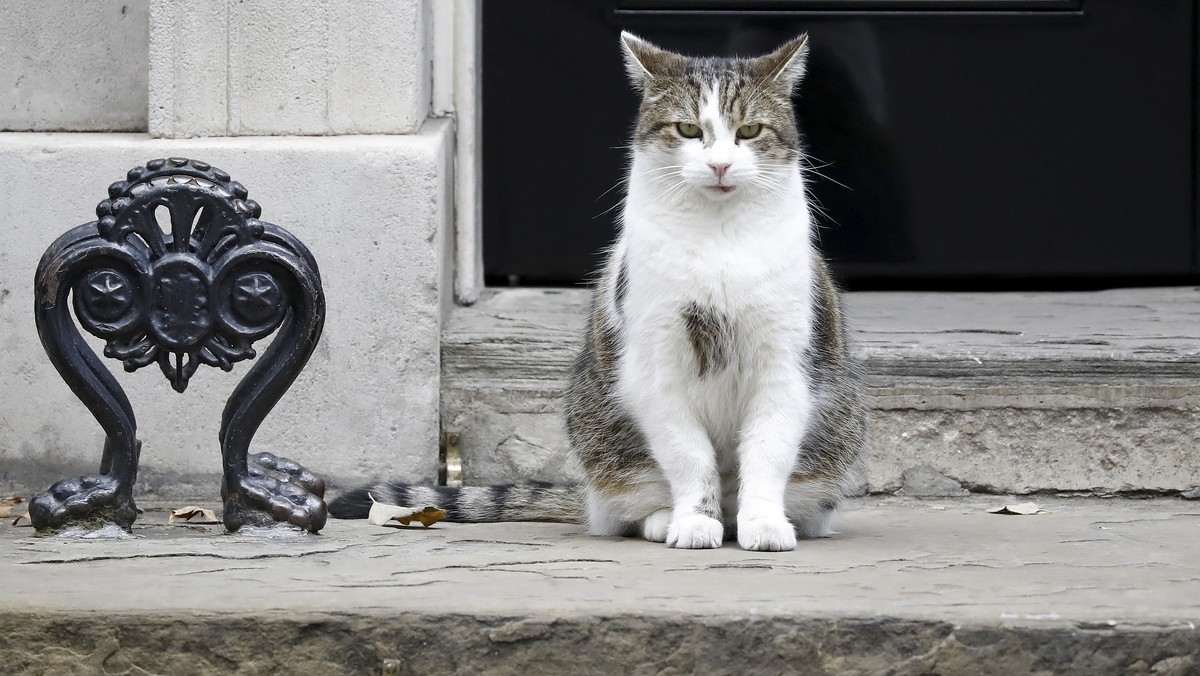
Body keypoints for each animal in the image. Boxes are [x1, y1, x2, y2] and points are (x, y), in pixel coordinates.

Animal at [328, 29, 864, 552]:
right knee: (623, 505)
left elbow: (768, 452)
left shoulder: (785, 364)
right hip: (600, 428)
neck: (719, 241)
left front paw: (765, 524)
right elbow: (689, 457)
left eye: (749, 131)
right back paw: (665, 520)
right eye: (689, 130)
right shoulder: (655, 365)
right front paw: (694, 522)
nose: (719, 166)